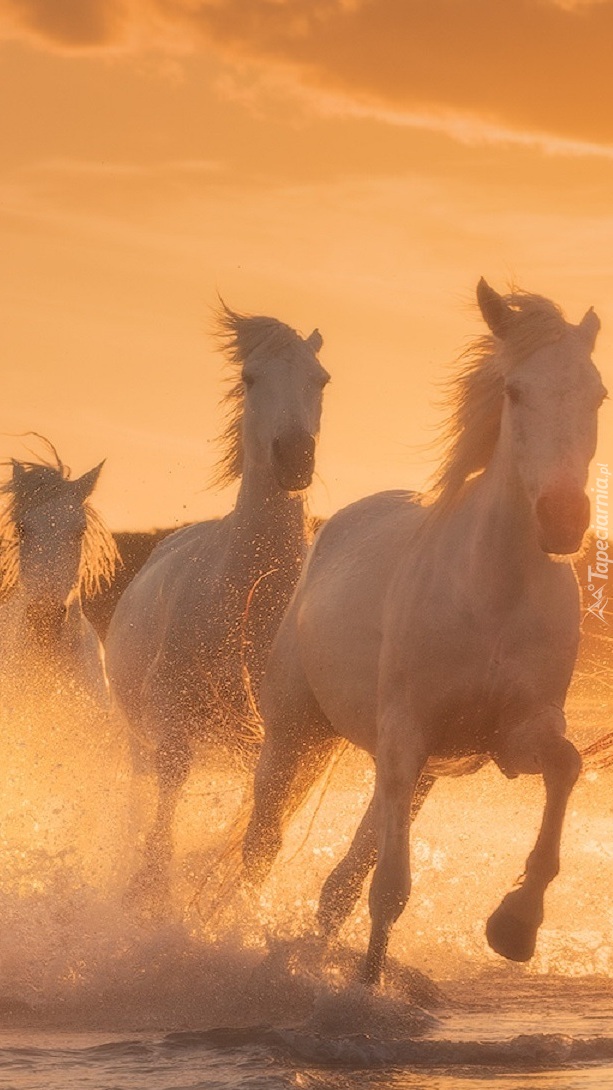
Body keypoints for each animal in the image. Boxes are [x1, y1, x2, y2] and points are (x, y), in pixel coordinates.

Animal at [104, 303, 327, 906]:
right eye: (250, 378)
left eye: (320, 379)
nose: (295, 458)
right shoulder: (173, 724)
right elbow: (164, 824)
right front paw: (147, 896)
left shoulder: (293, 748)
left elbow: (263, 838)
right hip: (137, 738)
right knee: (138, 802)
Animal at [241, 285, 602, 985]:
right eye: (515, 390)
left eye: (597, 393)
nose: (564, 519)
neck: (491, 593)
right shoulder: (407, 734)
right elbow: (391, 889)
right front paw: (364, 992)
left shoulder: (512, 736)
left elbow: (567, 766)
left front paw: (515, 925)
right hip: (297, 734)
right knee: (260, 850)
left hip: (414, 769)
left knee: (340, 882)